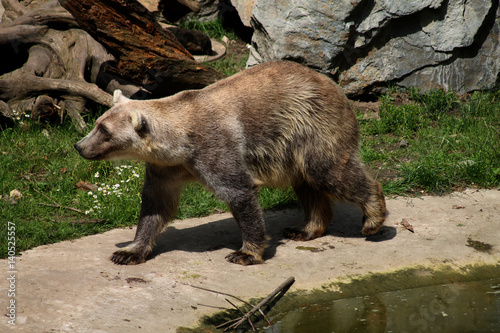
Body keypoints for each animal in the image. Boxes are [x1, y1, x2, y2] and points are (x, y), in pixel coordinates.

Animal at [75, 61, 386, 266]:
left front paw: (244, 252)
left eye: (104, 131)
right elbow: (156, 205)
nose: (79, 146)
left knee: (329, 171)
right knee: (308, 185)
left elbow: (238, 192)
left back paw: (373, 218)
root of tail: (333, 84)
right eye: (98, 124)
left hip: (312, 126)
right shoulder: (166, 169)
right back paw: (304, 228)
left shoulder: (215, 147)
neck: (180, 144)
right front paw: (128, 251)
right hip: (294, 147)